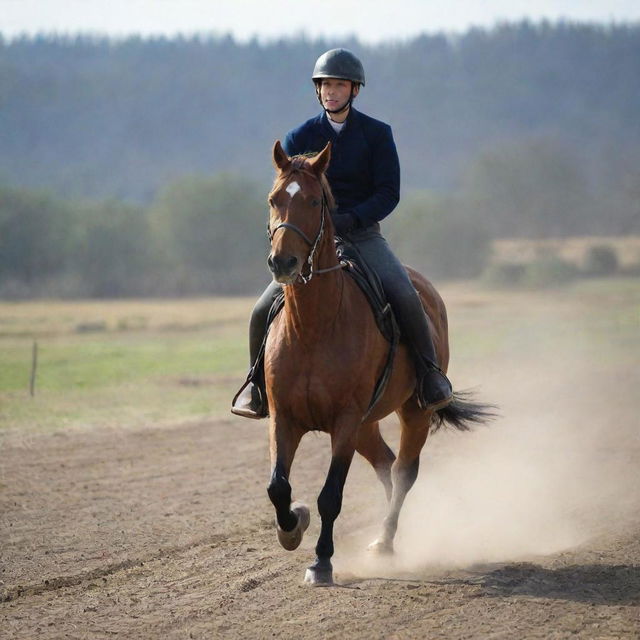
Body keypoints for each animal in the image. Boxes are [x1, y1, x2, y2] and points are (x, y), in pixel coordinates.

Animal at [262, 139, 492, 584]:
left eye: (315, 201)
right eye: (274, 199)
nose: (283, 263)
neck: (314, 326)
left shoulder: (345, 421)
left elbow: (331, 496)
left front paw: (321, 562)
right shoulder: (285, 417)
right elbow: (278, 487)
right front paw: (292, 527)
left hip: (411, 412)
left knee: (403, 472)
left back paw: (385, 543)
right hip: (367, 426)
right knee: (386, 465)